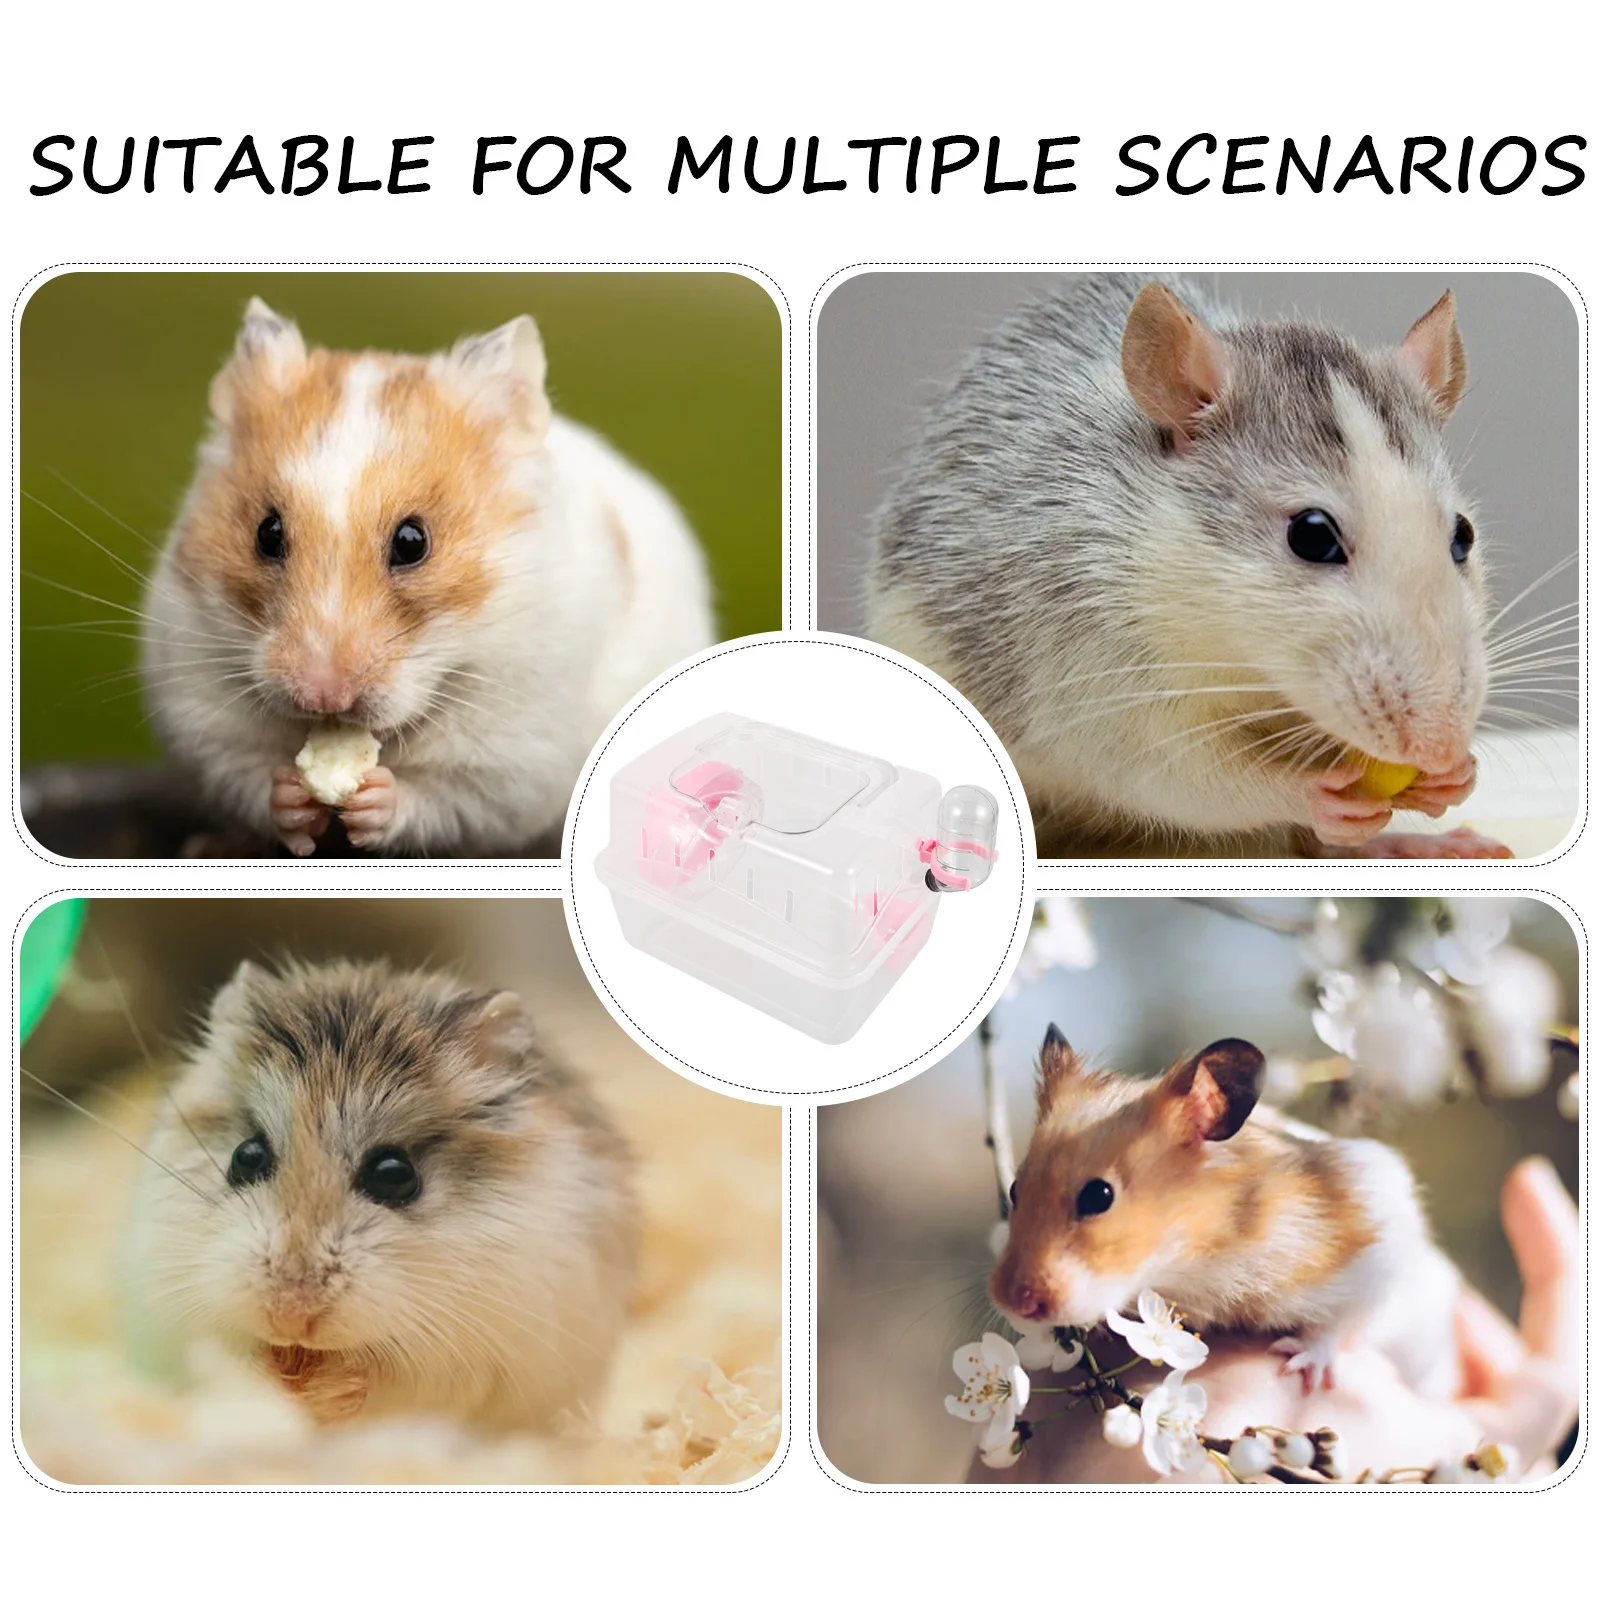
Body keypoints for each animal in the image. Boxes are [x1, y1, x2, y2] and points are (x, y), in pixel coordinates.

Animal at [122, 960, 637, 1429]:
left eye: (394, 1174)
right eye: (245, 1157)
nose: (290, 1318)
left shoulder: (473, 1354)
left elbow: (390, 1381)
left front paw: (326, 1391)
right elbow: (219, 1357)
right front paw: (270, 1378)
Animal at [142, 298, 713, 856]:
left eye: (413, 542)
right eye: (267, 532)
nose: (324, 698)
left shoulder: (511, 761)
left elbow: (442, 798)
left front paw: (373, 797)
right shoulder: (203, 715)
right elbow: (247, 774)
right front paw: (292, 794)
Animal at [866, 275, 1509, 860]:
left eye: (1463, 536)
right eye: (1312, 535)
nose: (1439, 744)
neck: (1247, 669)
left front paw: (1457, 776)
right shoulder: (1092, 654)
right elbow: (1171, 774)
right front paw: (1310, 794)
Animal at [990, 1027, 1459, 1397]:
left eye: (1098, 1196)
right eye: (1014, 1190)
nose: (1013, 1303)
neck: (1197, 1257)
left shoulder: (1377, 1245)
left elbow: (1341, 1323)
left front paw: (1300, 1365)